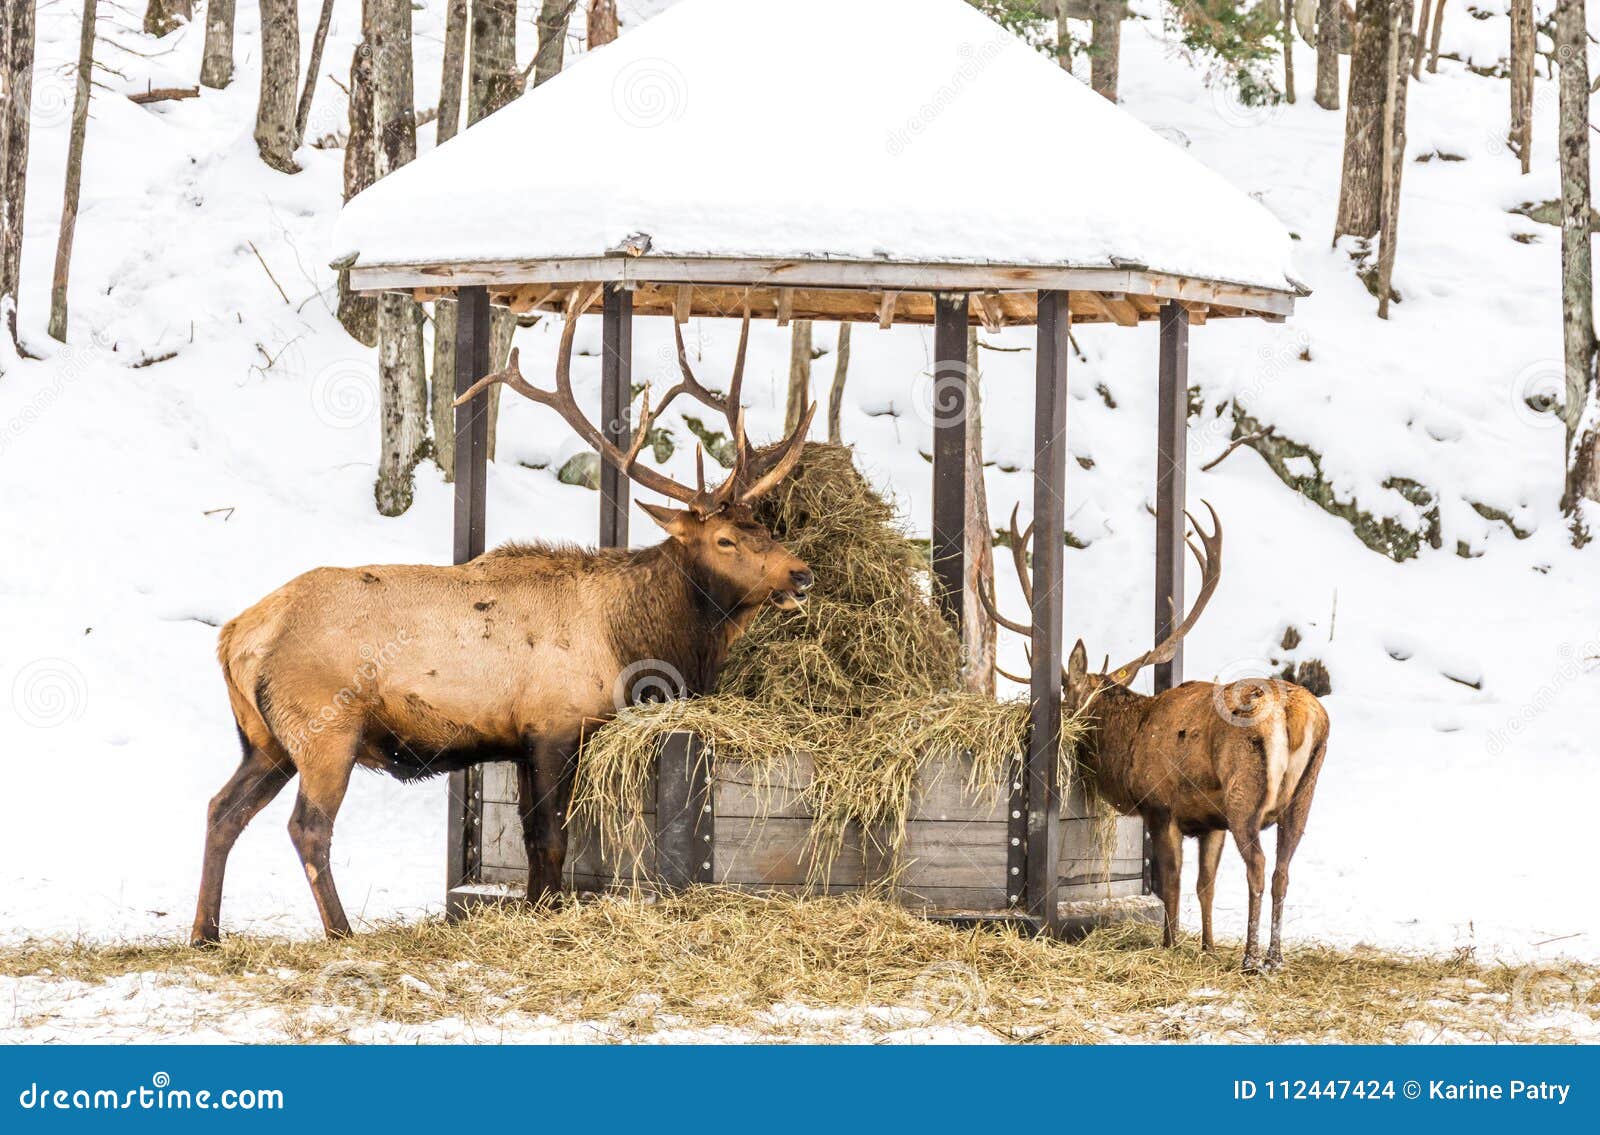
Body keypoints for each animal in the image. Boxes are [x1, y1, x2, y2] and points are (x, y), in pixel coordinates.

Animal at [190, 288, 812, 941]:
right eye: (725, 540)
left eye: (764, 526)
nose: (801, 574)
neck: (633, 642)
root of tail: (233, 639)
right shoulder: (555, 726)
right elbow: (552, 839)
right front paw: (550, 913)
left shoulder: (517, 741)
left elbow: (536, 841)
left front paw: (538, 909)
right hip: (325, 728)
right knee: (306, 827)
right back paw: (341, 932)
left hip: (263, 739)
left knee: (221, 809)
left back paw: (206, 933)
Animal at [979, 505, 1331, 973]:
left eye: (1066, 700)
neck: (1130, 741)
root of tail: (1299, 713)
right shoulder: (1210, 821)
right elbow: (1205, 884)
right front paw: (1206, 946)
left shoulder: (1161, 806)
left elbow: (1172, 881)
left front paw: (1170, 943)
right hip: (1302, 797)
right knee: (1283, 871)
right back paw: (1275, 957)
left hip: (1245, 793)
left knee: (1258, 866)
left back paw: (1251, 958)